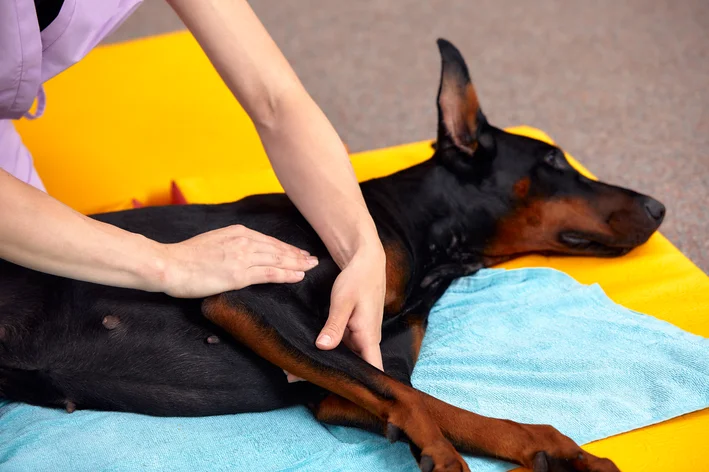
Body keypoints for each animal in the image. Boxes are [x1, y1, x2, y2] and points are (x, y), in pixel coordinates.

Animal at [1, 41, 664, 472]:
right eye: (552, 161)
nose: (659, 207)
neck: (421, 241)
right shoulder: (246, 297)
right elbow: (417, 404)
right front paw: (446, 458)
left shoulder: (352, 368)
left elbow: (432, 404)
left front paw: (558, 450)